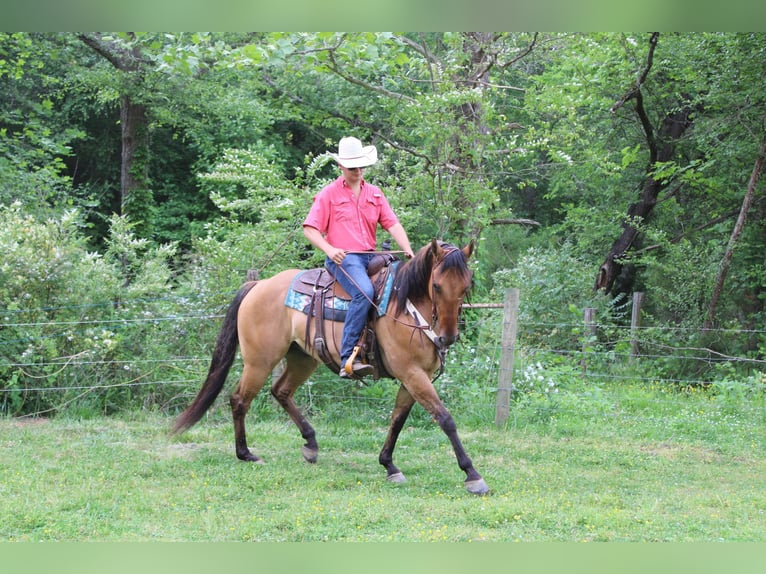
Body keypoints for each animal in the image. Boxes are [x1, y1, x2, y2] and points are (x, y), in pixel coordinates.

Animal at [171, 241, 488, 498]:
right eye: (436, 286)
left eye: (465, 286)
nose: (447, 337)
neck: (404, 306)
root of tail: (259, 285)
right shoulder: (412, 373)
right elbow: (445, 419)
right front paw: (472, 475)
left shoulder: (414, 377)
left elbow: (397, 420)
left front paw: (389, 465)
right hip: (259, 361)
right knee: (240, 400)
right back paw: (246, 453)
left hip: (302, 358)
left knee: (280, 391)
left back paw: (310, 443)